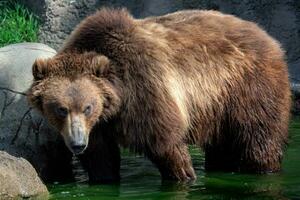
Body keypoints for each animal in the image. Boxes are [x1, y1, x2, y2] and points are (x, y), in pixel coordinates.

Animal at [27, 7, 290, 183]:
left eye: (87, 107)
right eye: (61, 109)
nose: (77, 144)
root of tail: (269, 38)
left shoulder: (145, 89)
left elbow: (164, 141)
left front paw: (184, 174)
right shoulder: (100, 126)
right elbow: (100, 158)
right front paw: (103, 177)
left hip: (248, 88)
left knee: (258, 139)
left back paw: (264, 168)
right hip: (218, 108)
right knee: (223, 146)